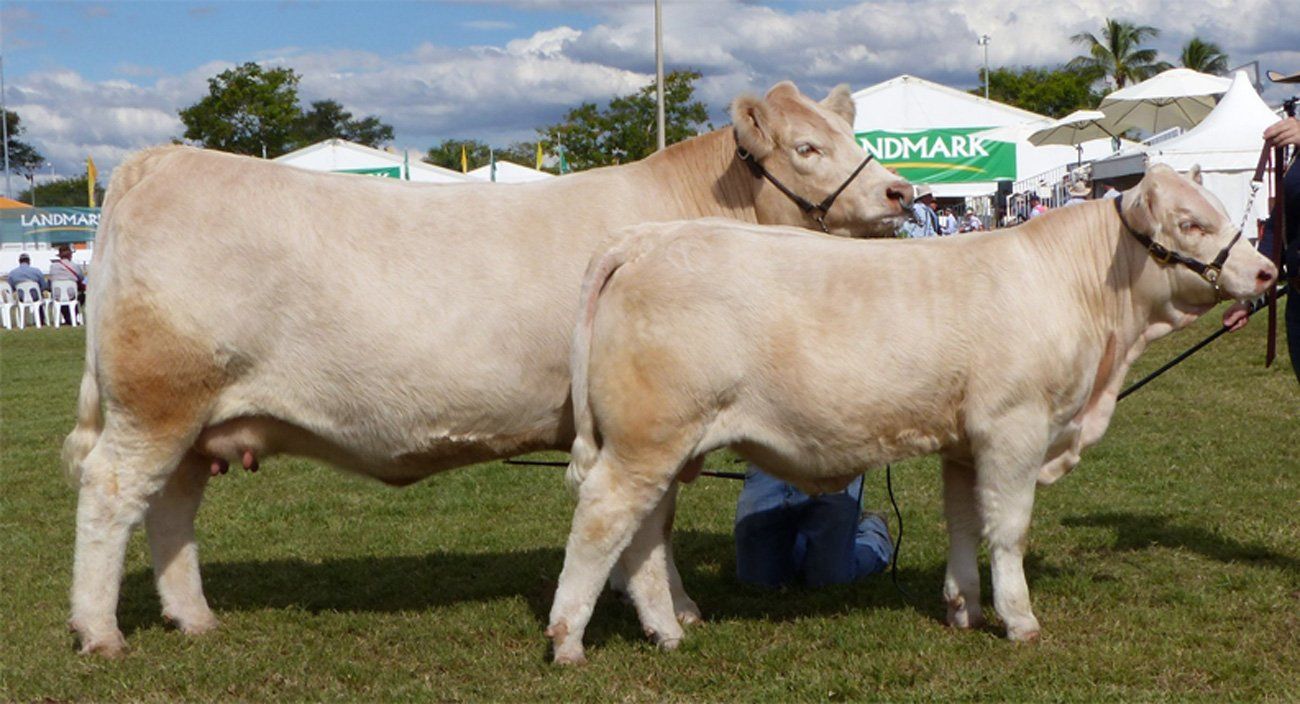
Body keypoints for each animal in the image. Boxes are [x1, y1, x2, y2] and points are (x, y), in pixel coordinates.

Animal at [62, 81, 913, 656]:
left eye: (849, 134)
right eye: (808, 149)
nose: (902, 190)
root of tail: (160, 164)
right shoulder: (654, 414)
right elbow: (651, 518)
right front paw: (672, 610)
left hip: (194, 417)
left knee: (170, 508)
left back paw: (194, 618)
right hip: (157, 399)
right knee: (112, 494)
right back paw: (99, 632)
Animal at [546, 164, 1277, 663]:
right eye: (1191, 223)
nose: (1269, 272)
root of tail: (645, 240)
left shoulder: (965, 441)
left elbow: (964, 523)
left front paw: (964, 607)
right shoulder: (1016, 428)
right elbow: (1008, 529)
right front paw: (1019, 620)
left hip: (669, 448)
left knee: (643, 536)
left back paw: (667, 629)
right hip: (646, 441)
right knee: (603, 523)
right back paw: (568, 639)